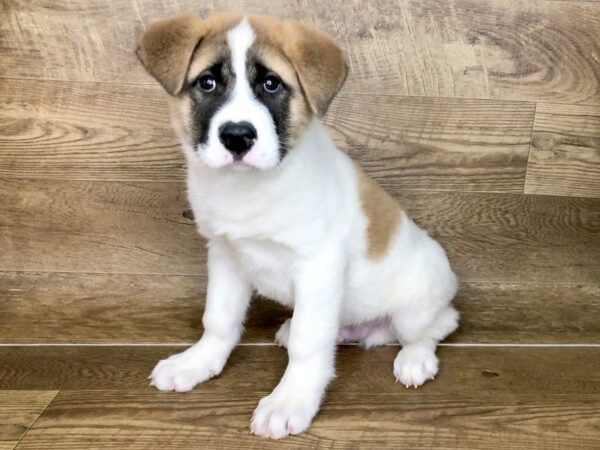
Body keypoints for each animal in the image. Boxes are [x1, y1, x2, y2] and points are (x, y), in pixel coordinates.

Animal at [138, 13, 458, 440]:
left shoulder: (317, 266)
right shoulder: (225, 255)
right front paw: (198, 362)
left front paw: (290, 399)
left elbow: (309, 344)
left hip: (415, 310)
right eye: (207, 82)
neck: (252, 187)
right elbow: (219, 319)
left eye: (271, 84)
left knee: (436, 326)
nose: (237, 137)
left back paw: (415, 359)